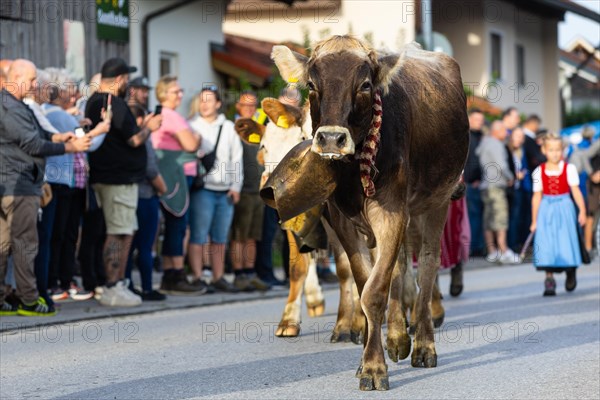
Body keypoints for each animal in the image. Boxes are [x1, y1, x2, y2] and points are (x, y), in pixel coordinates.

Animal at [268, 36, 468, 390]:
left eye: (364, 85)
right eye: (311, 85)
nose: (330, 138)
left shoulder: (392, 213)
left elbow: (375, 292)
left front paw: (375, 367)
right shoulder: (342, 220)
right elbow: (365, 282)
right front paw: (368, 358)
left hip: (438, 200)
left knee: (428, 266)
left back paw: (423, 344)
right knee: (400, 268)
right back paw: (399, 337)